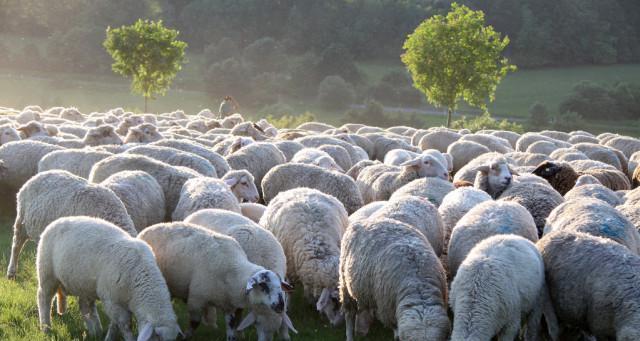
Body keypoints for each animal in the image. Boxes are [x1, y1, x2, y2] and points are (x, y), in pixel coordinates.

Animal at [37, 216, 180, 338]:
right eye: (157, 337)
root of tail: (57, 221)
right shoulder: (112, 300)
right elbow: (125, 325)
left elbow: (115, 325)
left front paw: (109, 336)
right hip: (47, 272)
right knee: (43, 298)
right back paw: (46, 328)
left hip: (83, 284)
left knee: (85, 307)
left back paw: (95, 331)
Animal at [140, 222, 290, 338]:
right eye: (264, 286)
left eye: (280, 286)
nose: (281, 305)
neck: (234, 271)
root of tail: (150, 227)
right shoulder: (196, 300)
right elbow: (194, 323)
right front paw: (186, 336)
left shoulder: (229, 306)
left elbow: (231, 329)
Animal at [260, 189, 350, 324]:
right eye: (334, 299)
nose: (338, 324)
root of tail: (299, 189)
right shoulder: (289, 269)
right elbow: (289, 291)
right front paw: (287, 308)